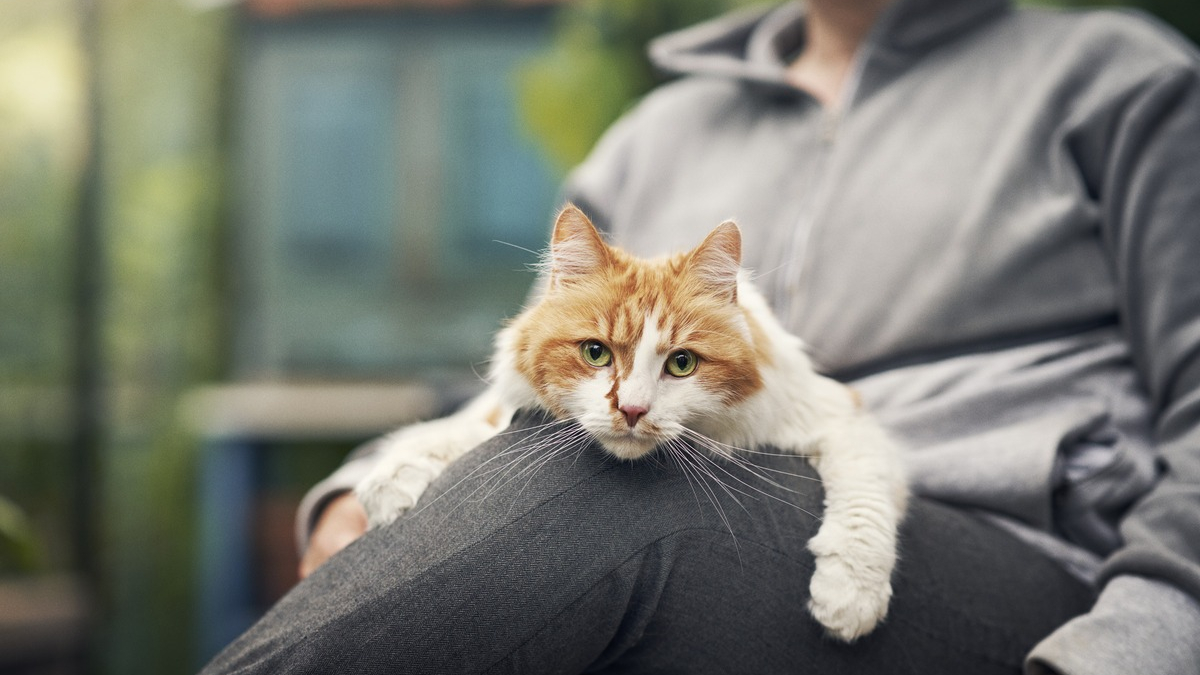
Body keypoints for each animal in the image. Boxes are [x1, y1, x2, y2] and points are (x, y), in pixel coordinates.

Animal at [355, 205, 907, 638]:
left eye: (682, 364)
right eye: (595, 353)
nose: (633, 410)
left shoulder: (842, 417)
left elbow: (863, 502)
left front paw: (850, 594)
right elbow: (455, 435)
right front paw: (390, 478)